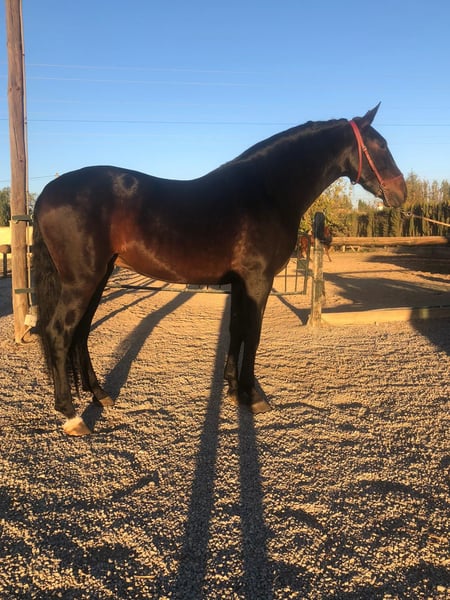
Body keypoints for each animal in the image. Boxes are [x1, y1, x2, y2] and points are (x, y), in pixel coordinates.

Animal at [32, 104, 406, 436]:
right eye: (380, 145)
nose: (401, 192)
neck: (266, 191)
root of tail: (48, 192)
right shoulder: (257, 280)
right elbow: (252, 335)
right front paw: (252, 396)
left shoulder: (241, 283)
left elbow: (236, 330)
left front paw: (231, 387)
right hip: (82, 281)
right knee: (59, 333)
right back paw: (71, 416)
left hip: (98, 278)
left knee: (80, 334)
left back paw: (99, 396)